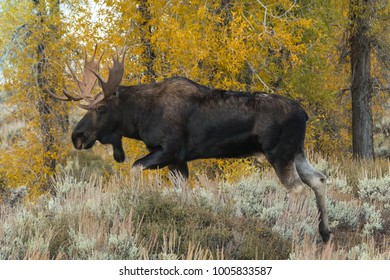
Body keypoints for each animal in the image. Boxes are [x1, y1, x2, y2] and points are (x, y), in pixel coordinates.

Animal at [50, 46, 330, 243]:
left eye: (101, 108)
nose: (77, 136)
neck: (140, 118)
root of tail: (304, 114)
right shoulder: (178, 161)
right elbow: (183, 194)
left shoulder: (168, 151)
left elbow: (134, 168)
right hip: (297, 152)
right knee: (318, 179)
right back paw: (324, 233)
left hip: (279, 153)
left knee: (298, 189)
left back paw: (287, 229)